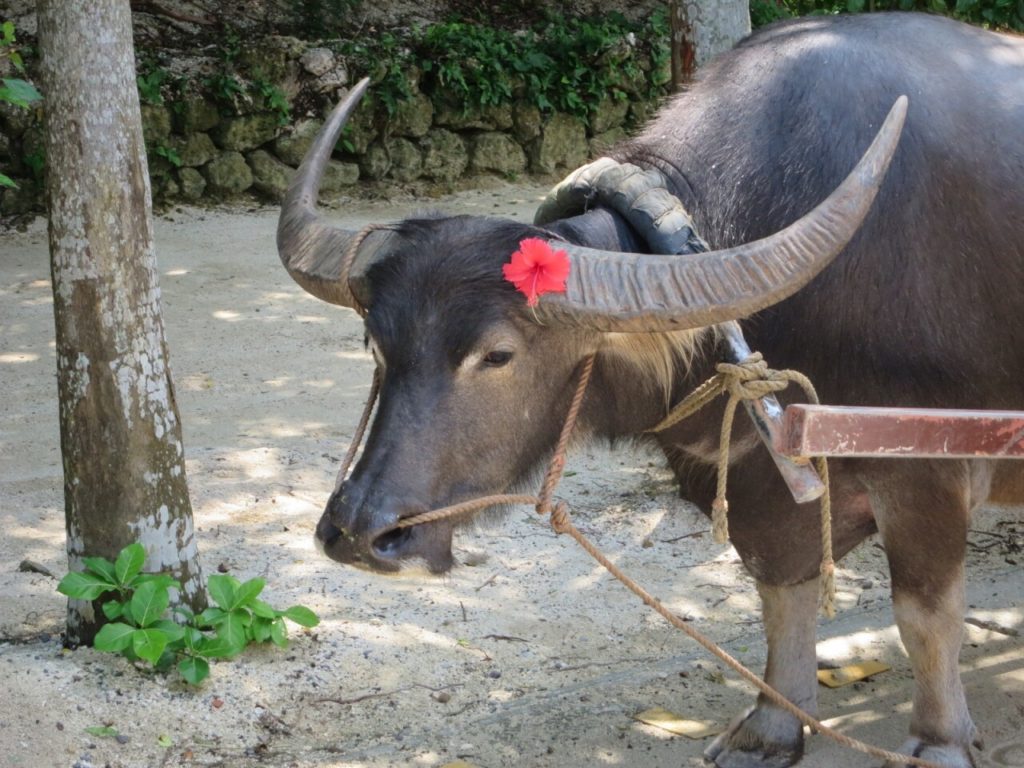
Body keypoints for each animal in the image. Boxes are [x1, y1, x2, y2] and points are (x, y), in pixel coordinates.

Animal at [276, 12, 1019, 768]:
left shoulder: (926, 469)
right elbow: (782, 593)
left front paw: (939, 742)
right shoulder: (761, 477)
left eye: (498, 354)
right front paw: (770, 727)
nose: (362, 532)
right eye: (376, 344)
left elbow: (925, 614)